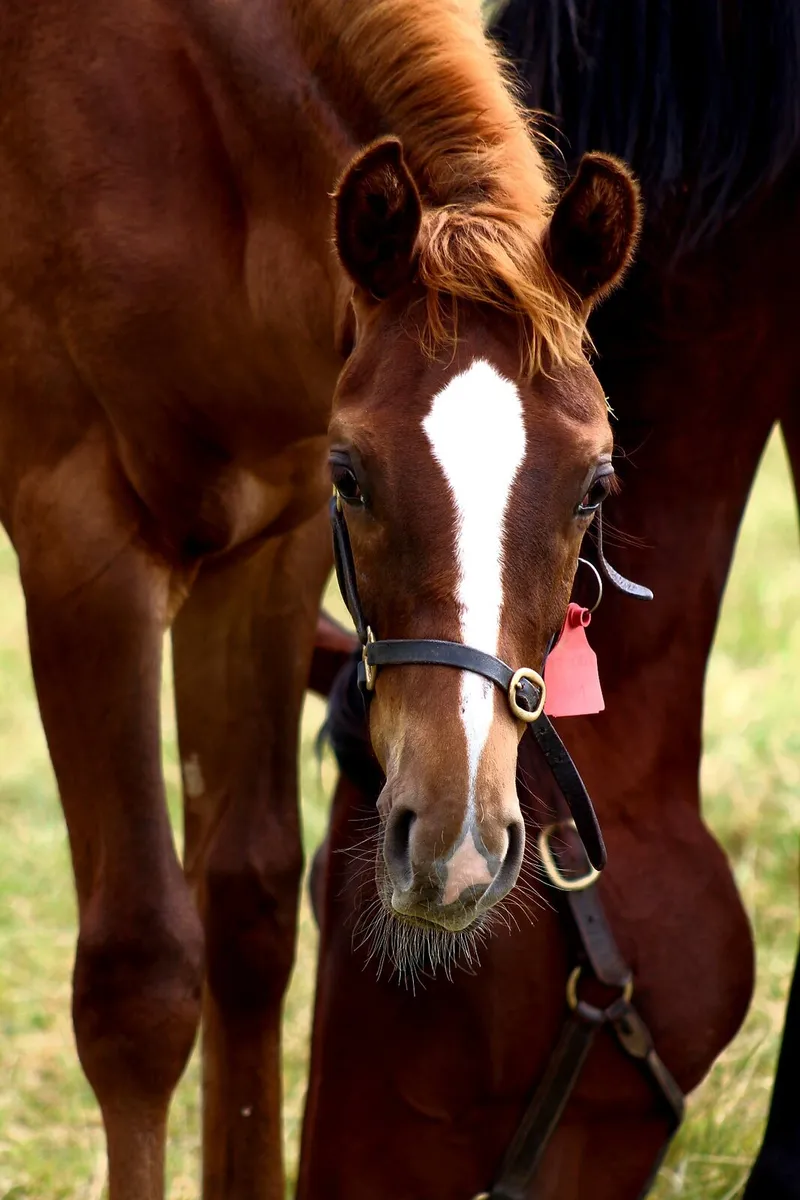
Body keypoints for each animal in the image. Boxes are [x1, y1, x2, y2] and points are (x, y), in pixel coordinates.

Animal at [0, 1, 641, 1196]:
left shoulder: (267, 547)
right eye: (355, 473)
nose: (455, 848)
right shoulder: (80, 543)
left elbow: (248, 915)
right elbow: (139, 979)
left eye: (595, 483)